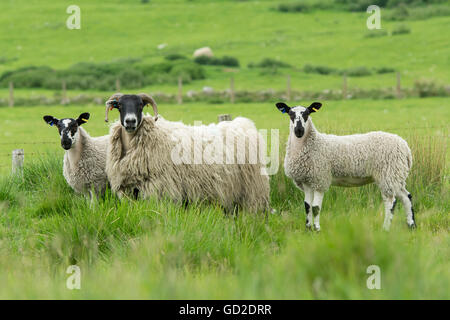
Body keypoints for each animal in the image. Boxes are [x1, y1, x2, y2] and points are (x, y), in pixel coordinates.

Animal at [103, 92, 268, 212]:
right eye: (120, 105)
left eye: (140, 105)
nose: (130, 121)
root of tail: (245, 124)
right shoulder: (129, 191)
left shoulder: (159, 188)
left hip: (252, 191)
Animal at [276, 101, 416, 231]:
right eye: (290, 114)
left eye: (307, 113)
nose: (299, 131)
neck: (313, 143)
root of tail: (405, 148)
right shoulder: (307, 181)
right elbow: (307, 206)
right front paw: (308, 228)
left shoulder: (320, 179)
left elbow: (316, 207)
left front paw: (317, 229)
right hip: (396, 175)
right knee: (406, 197)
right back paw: (411, 225)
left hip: (388, 173)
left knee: (391, 202)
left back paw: (386, 228)